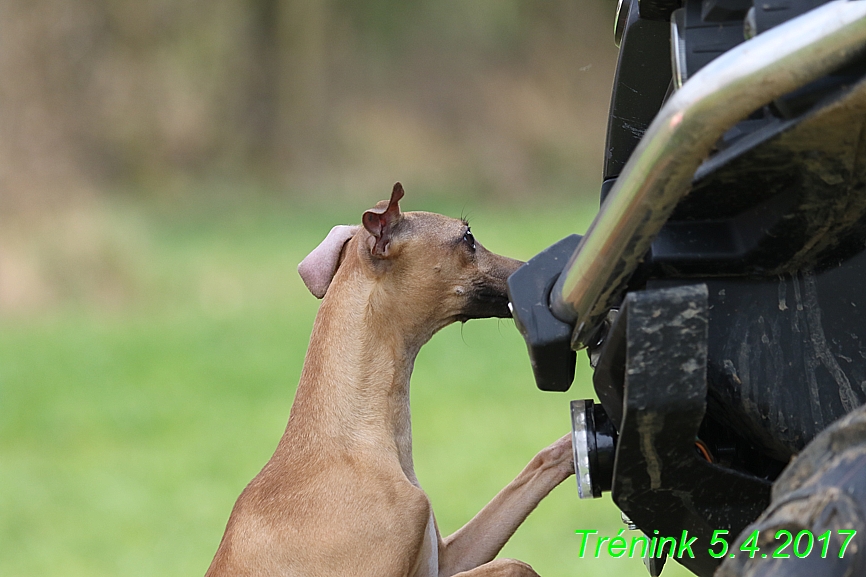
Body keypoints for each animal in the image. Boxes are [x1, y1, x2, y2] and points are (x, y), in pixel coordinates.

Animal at [204, 184, 572, 576]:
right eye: (468, 237)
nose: (540, 275)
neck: (350, 438)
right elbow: (515, 563)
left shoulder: (445, 558)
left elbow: (541, 464)